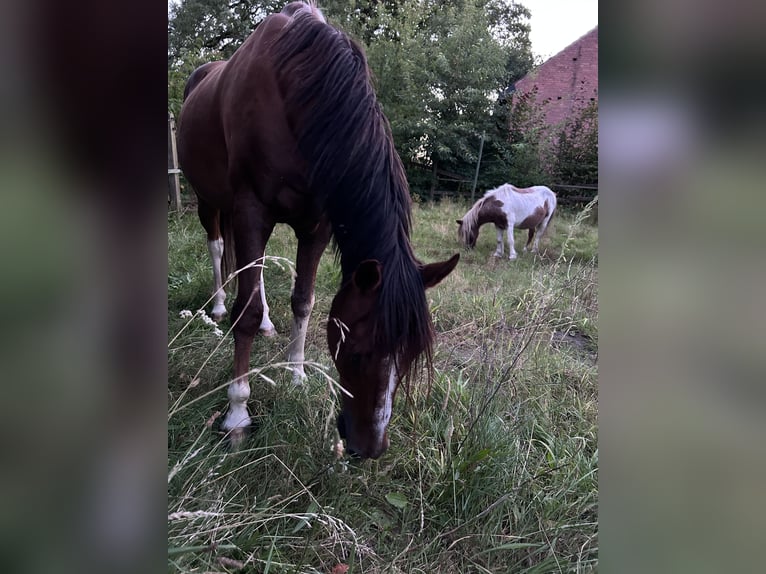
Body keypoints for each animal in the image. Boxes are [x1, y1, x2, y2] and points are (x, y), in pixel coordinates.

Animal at [177, 0, 460, 460]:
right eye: (358, 351)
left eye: (409, 356)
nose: (370, 448)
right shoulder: (251, 208)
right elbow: (246, 312)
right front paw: (237, 413)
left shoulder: (317, 225)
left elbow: (303, 301)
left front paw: (296, 376)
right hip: (210, 200)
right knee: (219, 250)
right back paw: (218, 308)